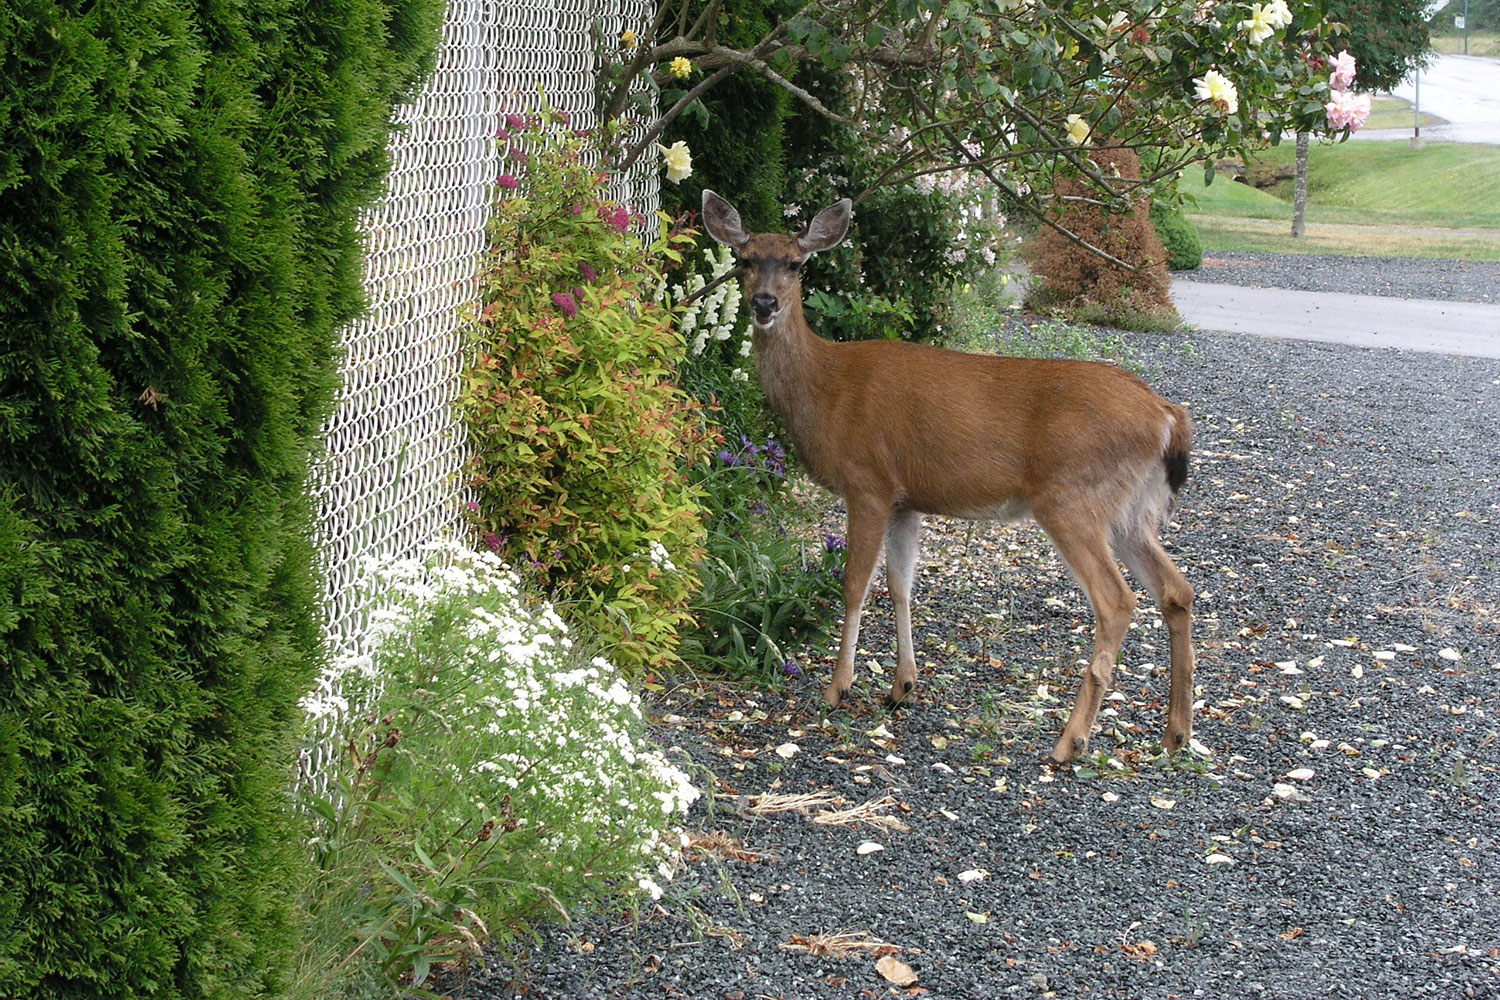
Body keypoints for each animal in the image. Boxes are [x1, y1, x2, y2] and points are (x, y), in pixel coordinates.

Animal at [696, 189, 1200, 767]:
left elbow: (855, 584)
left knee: (1117, 601)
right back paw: (1176, 734)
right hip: (1130, 512)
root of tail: (1167, 417)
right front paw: (902, 686)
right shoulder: (905, 498)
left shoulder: (868, 481)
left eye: (797, 264)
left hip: (1072, 497)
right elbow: (900, 584)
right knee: (1177, 590)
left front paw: (838, 687)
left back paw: (1069, 741)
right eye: (744, 259)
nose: (763, 304)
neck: (824, 386)